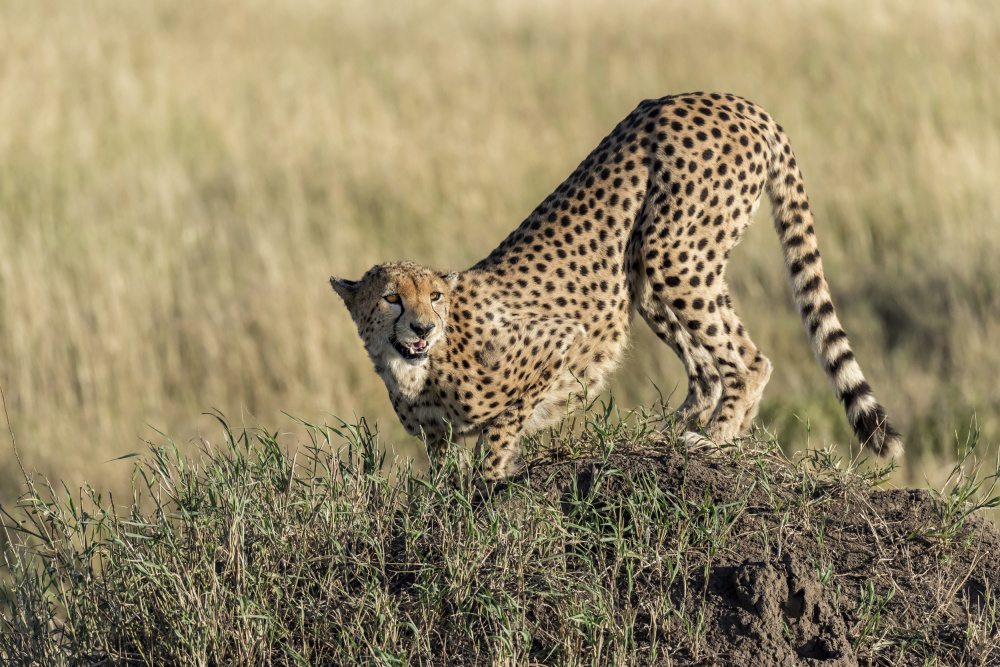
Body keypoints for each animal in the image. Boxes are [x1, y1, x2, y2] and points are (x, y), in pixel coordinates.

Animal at [332, 92, 904, 480]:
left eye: (434, 297)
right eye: (391, 298)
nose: (423, 328)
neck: (413, 367)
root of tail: (737, 101)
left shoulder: (555, 341)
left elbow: (498, 435)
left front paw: (490, 482)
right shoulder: (439, 435)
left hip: (671, 251)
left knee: (747, 361)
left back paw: (712, 442)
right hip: (653, 276)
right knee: (708, 369)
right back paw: (672, 433)